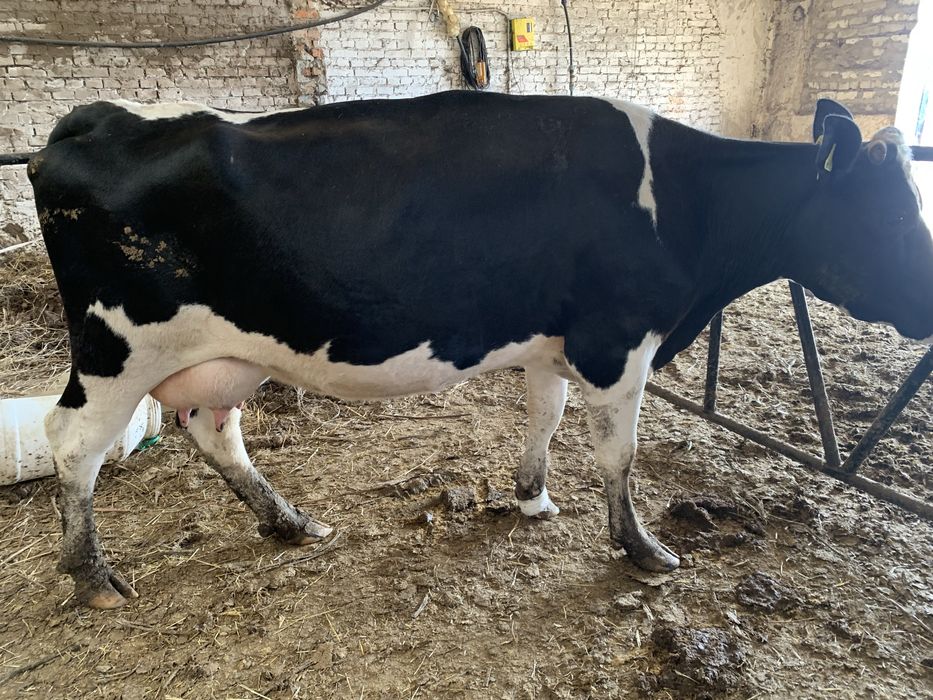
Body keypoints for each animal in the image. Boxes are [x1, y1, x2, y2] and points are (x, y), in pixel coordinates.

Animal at [28, 91, 932, 609]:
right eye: (890, 214)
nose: (926, 305)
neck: (683, 205)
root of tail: (93, 120)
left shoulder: (554, 344)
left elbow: (546, 418)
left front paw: (531, 496)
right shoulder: (616, 342)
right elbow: (618, 454)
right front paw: (640, 548)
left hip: (223, 353)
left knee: (215, 431)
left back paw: (288, 521)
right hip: (116, 348)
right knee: (72, 443)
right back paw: (91, 577)